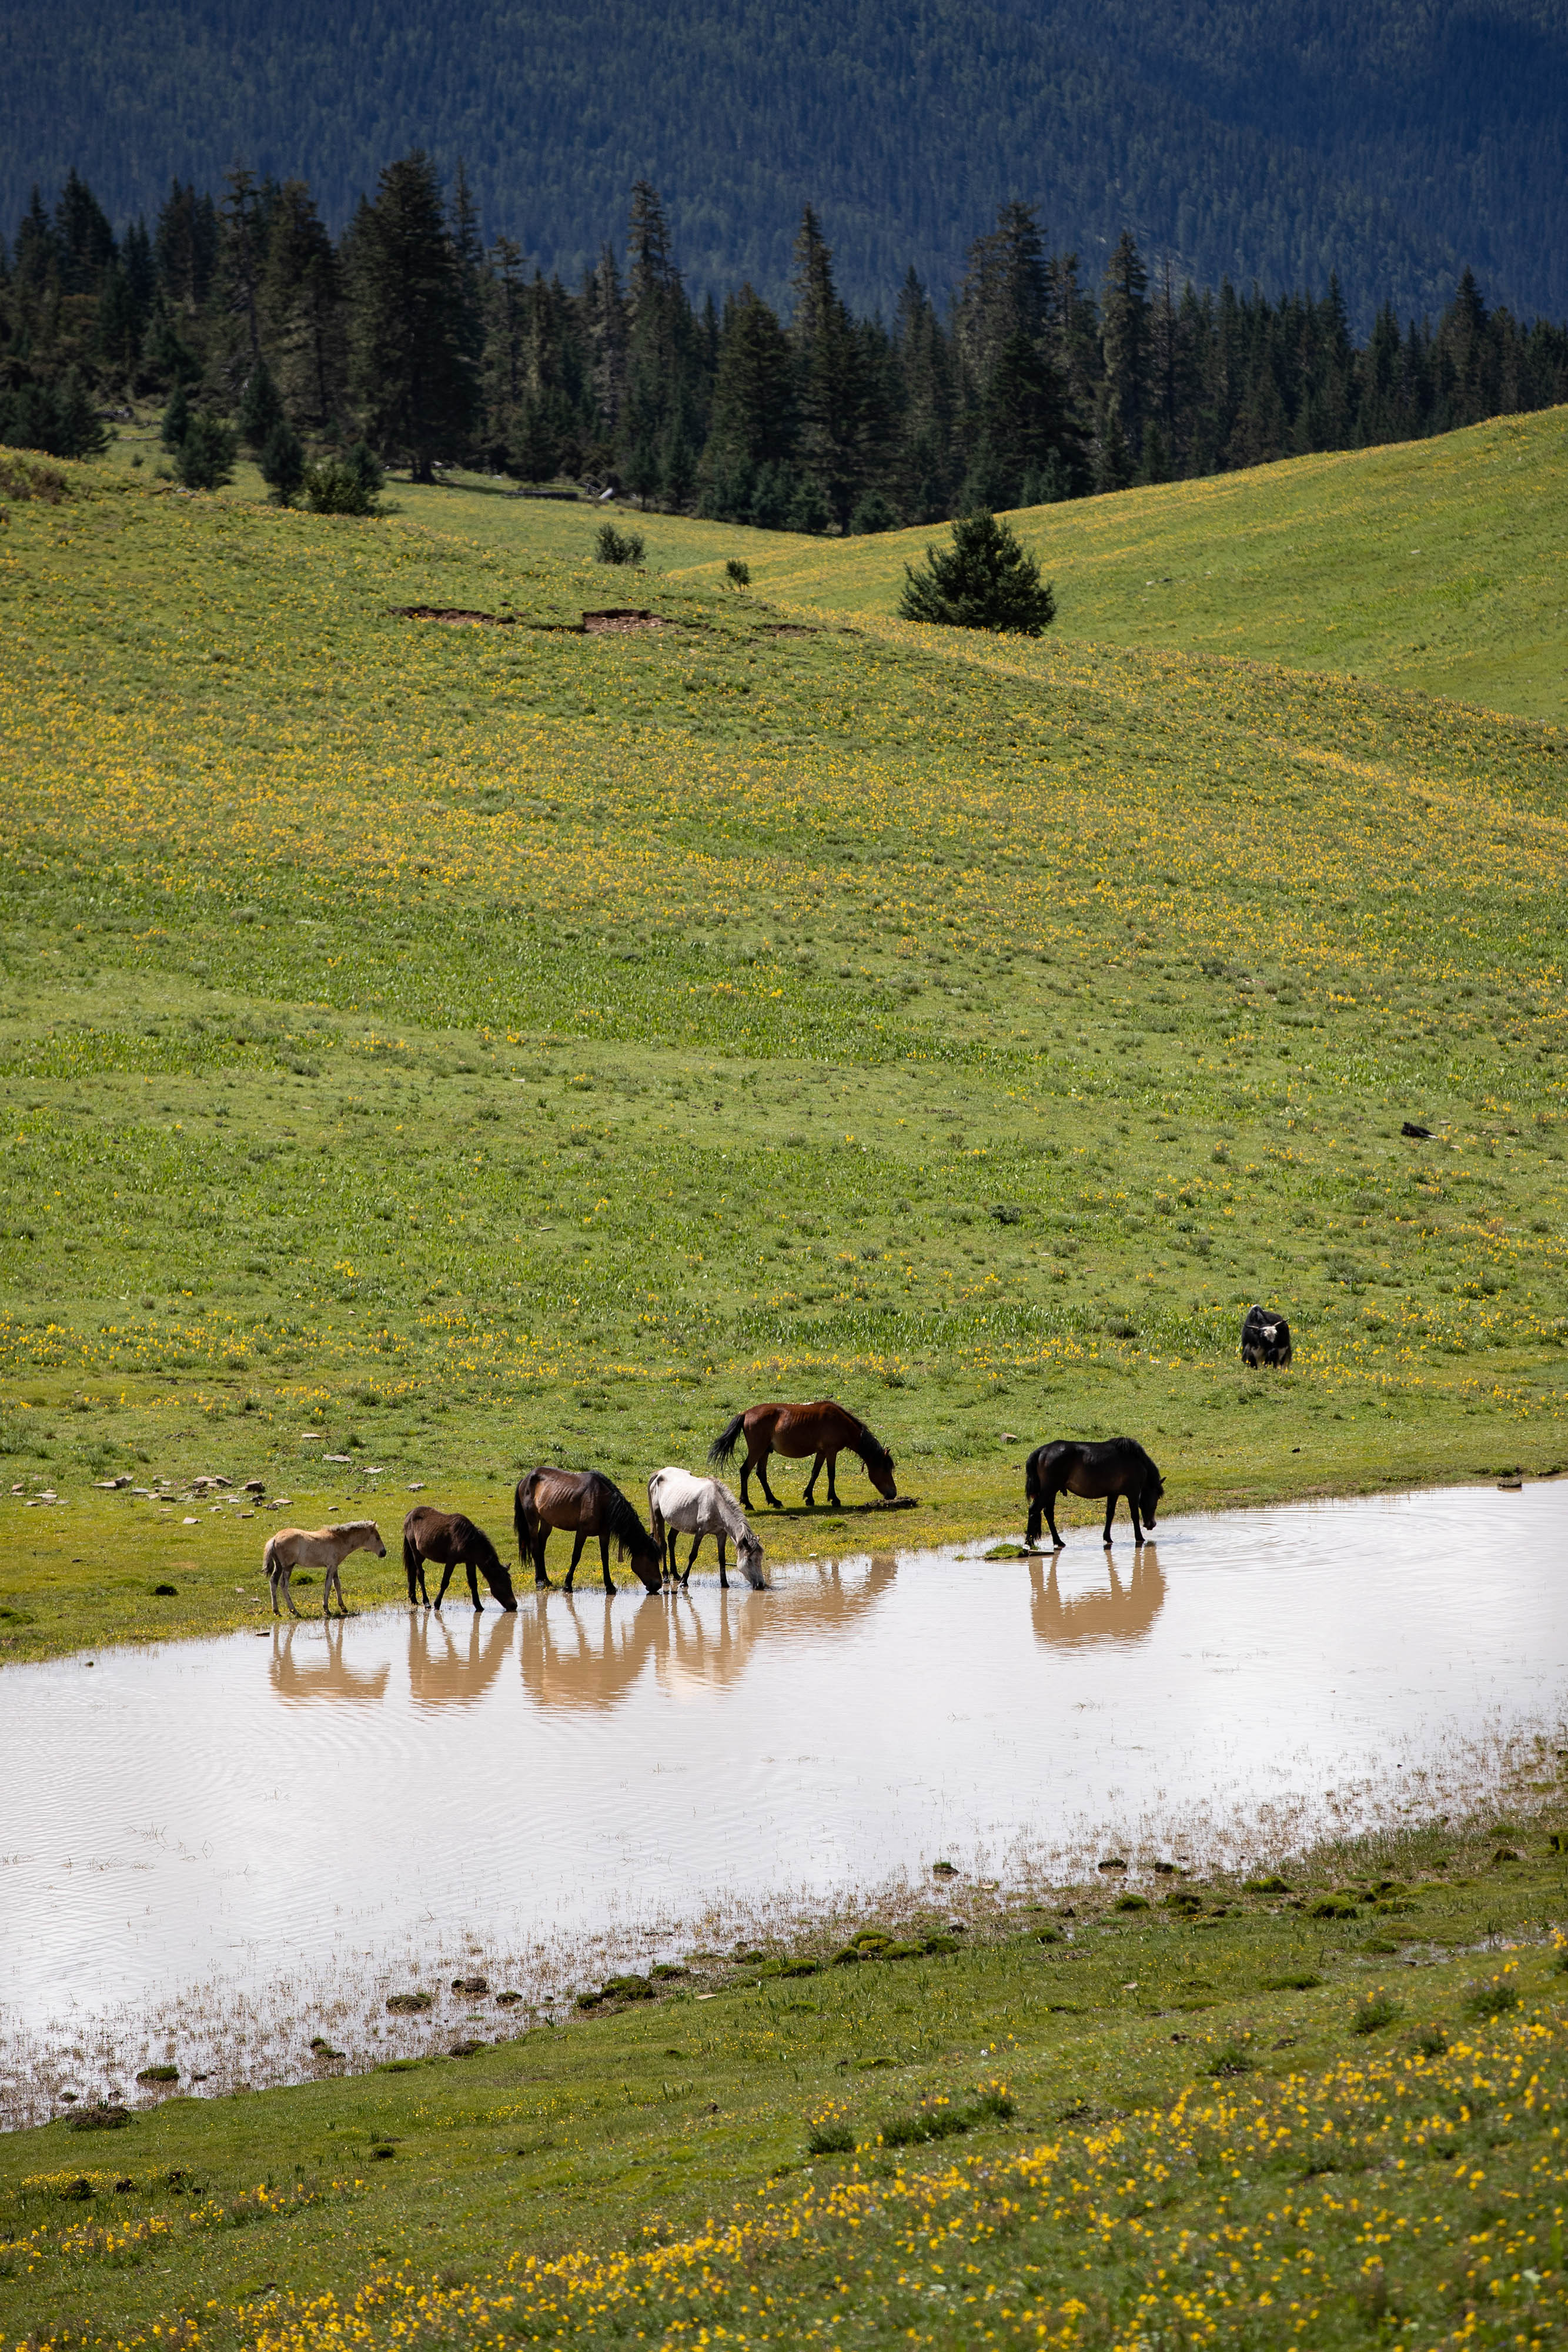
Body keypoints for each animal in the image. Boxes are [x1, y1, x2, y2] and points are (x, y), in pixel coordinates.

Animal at [263, 1524, 385, 1618]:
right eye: (378, 1537)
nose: (384, 1552)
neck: (339, 1539)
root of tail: (274, 1538)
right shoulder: (331, 1566)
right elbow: (328, 1585)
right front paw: (327, 1609)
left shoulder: (335, 1566)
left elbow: (337, 1584)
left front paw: (343, 1607)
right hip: (288, 1566)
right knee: (284, 1585)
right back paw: (295, 1612)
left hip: (279, 1566)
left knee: (273, 1582)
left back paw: (277, 1611)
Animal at [404, 1505, 521, 1618]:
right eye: (502, 1584)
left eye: (510, 1583)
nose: (514, 1605)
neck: (469, 1541)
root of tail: (409, 1514)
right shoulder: (451, 1561)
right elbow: (445, 1582)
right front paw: (437, 1604)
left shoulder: (470, 1562)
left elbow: (473, 1583)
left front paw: (479, 1606)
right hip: (416, 1552)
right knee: (420, 1575)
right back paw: (426, 1603)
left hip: (421, 1554)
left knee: (413, 1572)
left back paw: (414, 1599)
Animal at [514, 1468, 663, 1599]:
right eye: (651, 1558)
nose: (658, 1585)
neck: (602, 1502)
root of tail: (526, 1479)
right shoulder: (582, 1532)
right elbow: (576, 1556)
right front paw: (567, 1585)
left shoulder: (604, 1534)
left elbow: (605, 1558)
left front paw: (610, 1586)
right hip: (532, 1521)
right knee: (535, 1548)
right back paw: (539, 1582)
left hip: (546, 1522)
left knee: (541, 1548)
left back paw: (546, 1580)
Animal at [644, 1468, 766, 1599]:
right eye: (749, 1560)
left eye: (760, 1559)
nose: (761, 1585)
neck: (716, 1503)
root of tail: (660, 1473)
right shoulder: (700, 1531)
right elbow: (693, 1555)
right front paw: (684, 1582)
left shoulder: (721, 1534)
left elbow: (722, 1558)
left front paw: (725, 1583)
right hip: (659, 1516)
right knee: (664, 1544)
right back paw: (666, 1576)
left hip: (676, 1521)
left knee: (671, 1540)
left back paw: (676, 1574)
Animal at [710, 1392, 893, 1505]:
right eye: (886, 1469)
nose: (893, 1494)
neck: (841, 1423)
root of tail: (746, 1413)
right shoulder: (831, 1451)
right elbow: (831, 1474)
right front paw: (834, 1499)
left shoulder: (822, 1452)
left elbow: (815, 1473)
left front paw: (809, 1497)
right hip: (757, 1450)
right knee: (745, 1471)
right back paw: (747, 1503)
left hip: (764, 1452)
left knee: (761, 1474)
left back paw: (774, 1501)